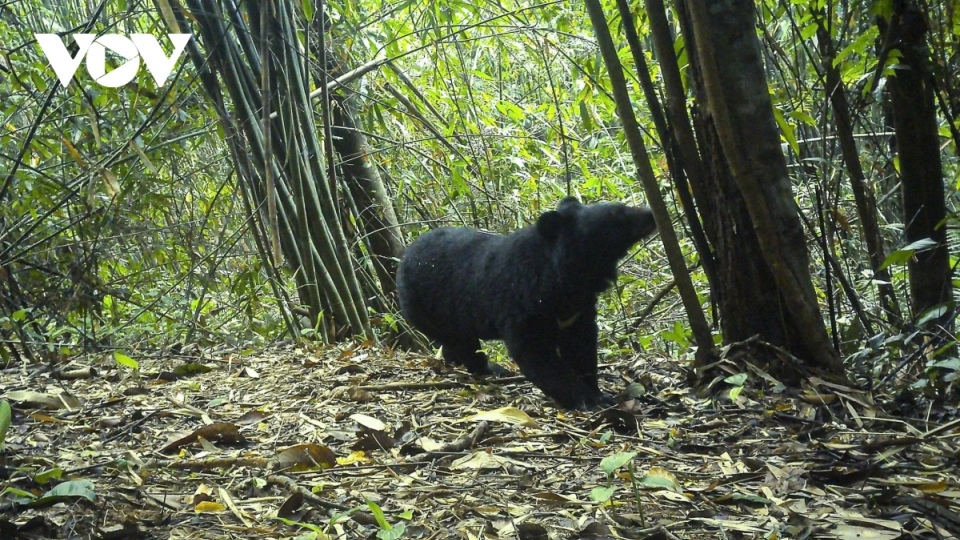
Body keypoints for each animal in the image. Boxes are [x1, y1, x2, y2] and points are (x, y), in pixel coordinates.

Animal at [396, 196, 657, 410]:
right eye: (618, 214)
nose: (651, 214)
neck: (569, 278)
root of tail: (405, 256)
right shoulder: (523, 303)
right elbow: (535, 353)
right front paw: (588, 400)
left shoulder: (577, 311)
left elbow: (580, 347)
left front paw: (598, 393)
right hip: (428, 306)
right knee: (462, 343)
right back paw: (489, 368)